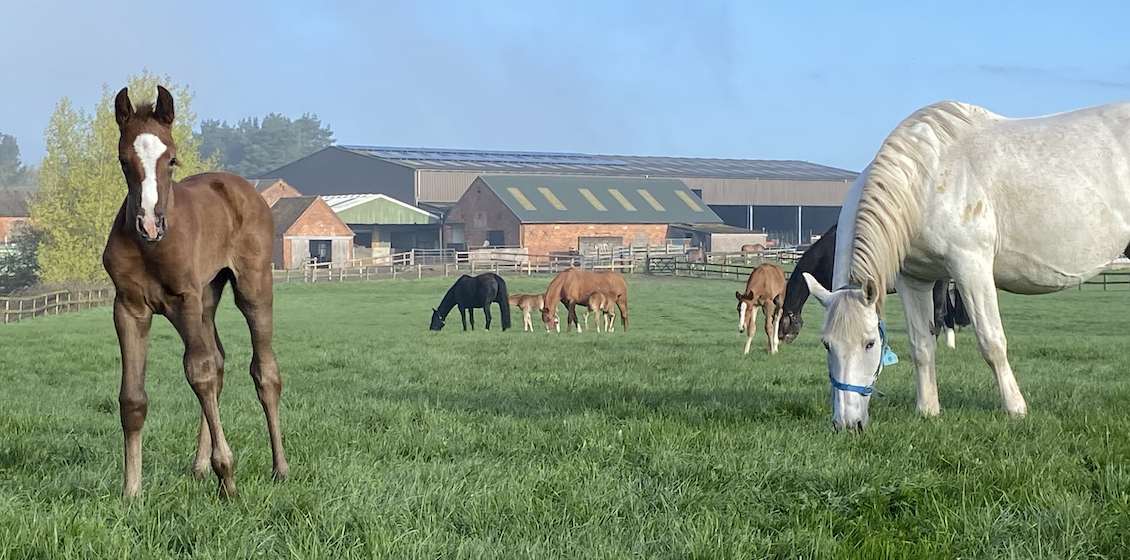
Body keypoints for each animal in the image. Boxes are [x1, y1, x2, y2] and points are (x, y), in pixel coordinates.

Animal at [102, 86, 288, 498]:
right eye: (124, 161)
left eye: (171, 160)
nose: (149, 224)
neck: (153, 248)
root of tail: (242, 187)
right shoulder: (128, 308)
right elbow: (133, 398)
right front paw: (131, 491)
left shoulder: (183, 299)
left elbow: (198, 372)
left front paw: (228, 475)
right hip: (207, 297)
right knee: (218, 362)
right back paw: (201, 467)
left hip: (250, 288)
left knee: (263, 371)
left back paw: (280, 468)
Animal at [805, 99, 1130, 432]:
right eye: (827, 344)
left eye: (870, 343)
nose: (847, 424)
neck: (925, 179)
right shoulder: (913, 280)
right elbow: (921, 345)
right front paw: (928, 410)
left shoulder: (970, 267)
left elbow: (991, 341)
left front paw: (1015, 409)